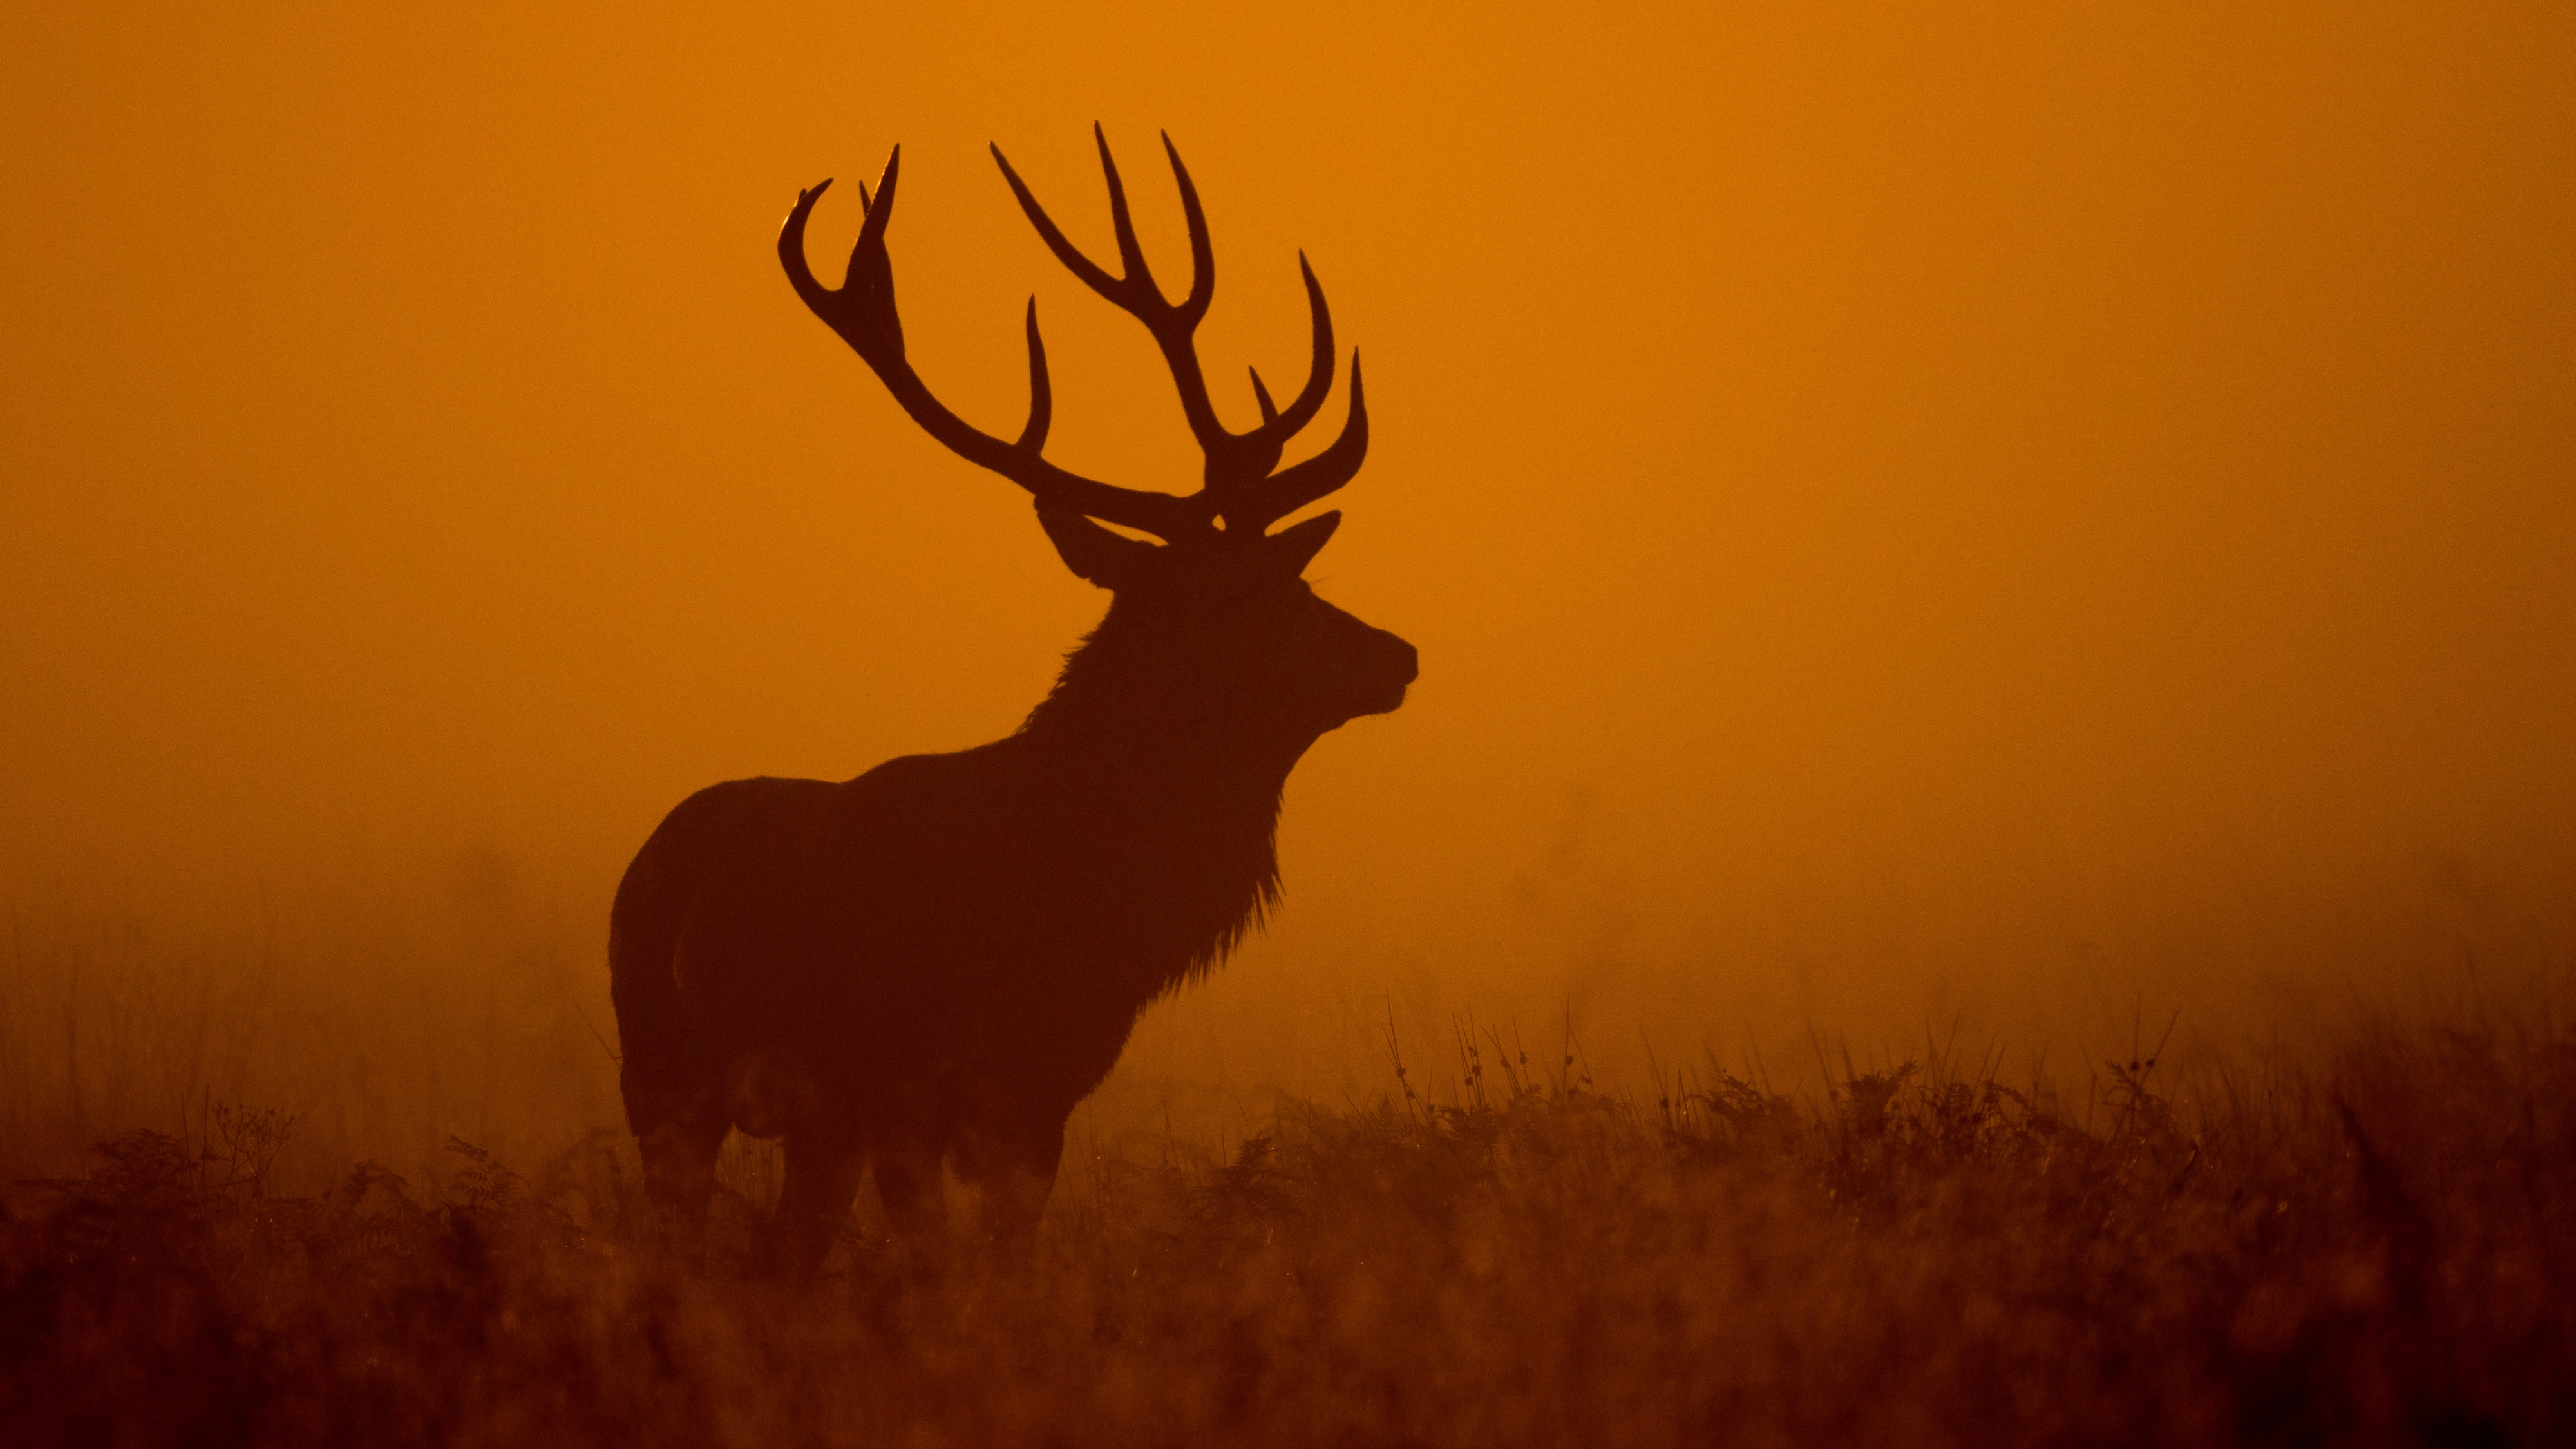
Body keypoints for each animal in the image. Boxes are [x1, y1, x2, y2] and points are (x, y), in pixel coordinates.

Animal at [608, 128, 1416, 1279]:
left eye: (1293, 575)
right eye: (1259, 595)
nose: (1396, 654)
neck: (1062, 900)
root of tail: (647, 852)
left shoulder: (1044, 1092)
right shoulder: (901, 1083)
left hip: (802, 1117)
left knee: (786, 1254)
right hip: (661, 1068)